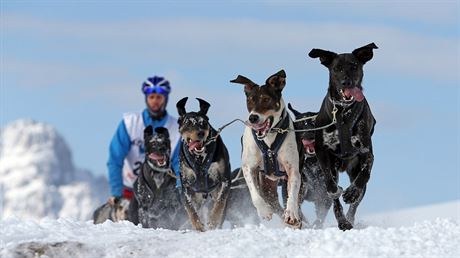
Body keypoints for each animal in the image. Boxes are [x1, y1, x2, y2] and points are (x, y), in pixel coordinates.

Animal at [177, 97, 232, 232]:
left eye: (203, 123)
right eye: (188, 123)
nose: (200, 133)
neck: (200, 159)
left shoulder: (225, 180)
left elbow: (219, 203)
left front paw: (212, 221)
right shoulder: (186, 185)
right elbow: (190, 208)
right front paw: (197, 225)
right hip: (198, 197)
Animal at [232, 69, 304, 229]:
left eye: (266, 99)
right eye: (250, 100)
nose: (253, 118)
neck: (269, 137)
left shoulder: (293, 170)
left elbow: (293, 193)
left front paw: (291, 214)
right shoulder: (248, 167)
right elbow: (254, 194)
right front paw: (264, 211)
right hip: (267, 187)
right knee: (273, 202)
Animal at [308, 43, 380, 231]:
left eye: (354, 66)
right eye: (337, 68)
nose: (346, 82)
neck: (342, 112)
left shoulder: (366, 152)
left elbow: (365, 173)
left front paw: (352, 192)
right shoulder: (322, 152)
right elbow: (331, 187)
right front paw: (337, 191)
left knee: (356, 203)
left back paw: (349, 217)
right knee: (334, 200)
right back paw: (342, 221)